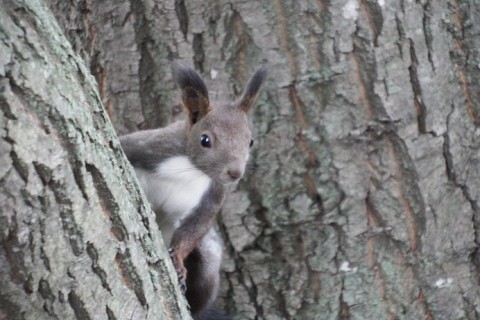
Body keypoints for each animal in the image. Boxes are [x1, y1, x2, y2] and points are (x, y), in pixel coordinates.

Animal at [120, 63, 268, 318]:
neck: (191, 169)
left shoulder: (212, 196)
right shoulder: (145, 147)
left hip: (208, 257)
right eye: (205, 140)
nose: (235, 173)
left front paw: (178, 262)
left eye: (251, 141)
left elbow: (193, 229)